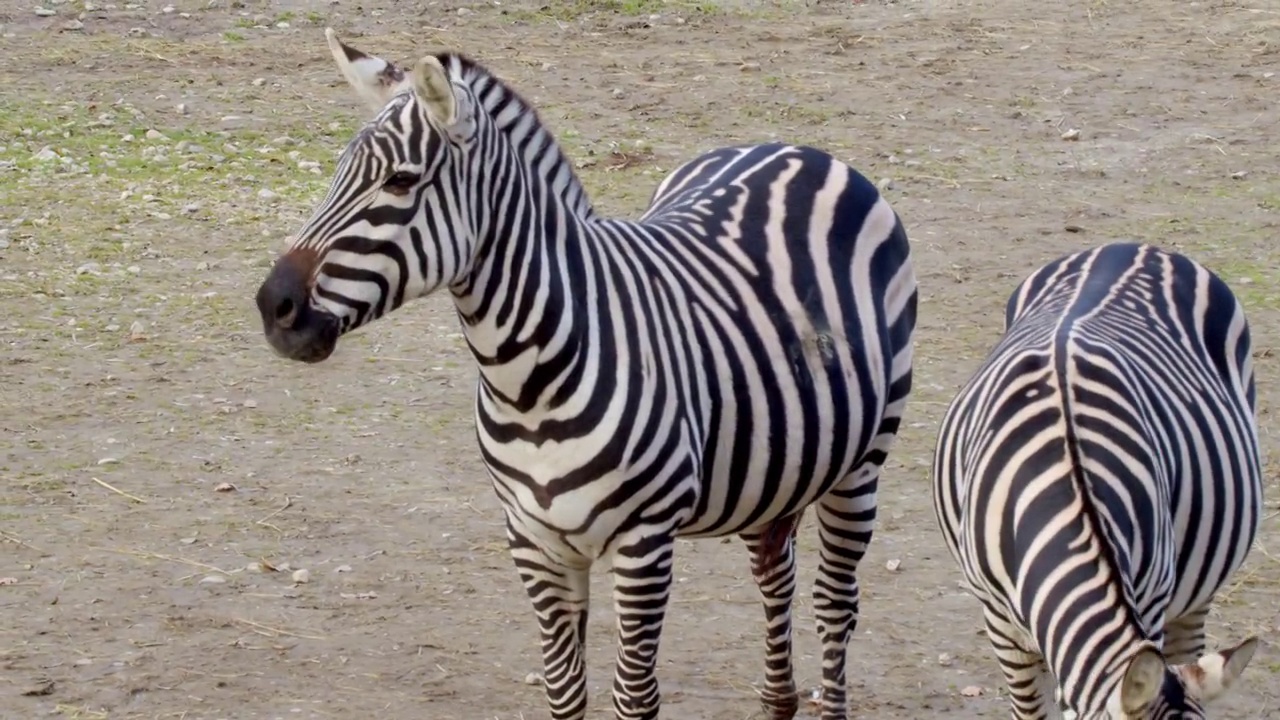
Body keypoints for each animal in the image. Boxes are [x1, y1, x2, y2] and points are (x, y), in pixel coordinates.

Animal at [252, 28, 921, 717]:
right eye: (337, 172)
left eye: (401, 181)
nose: (274, 308)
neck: (526, 382)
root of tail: (792, 148)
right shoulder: (534, 540)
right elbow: (565, 691)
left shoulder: (644, 542)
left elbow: (634, 696)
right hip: (776, 462)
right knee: (774, 568)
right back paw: (776, 700)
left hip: (863, 460)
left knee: (835, 603)